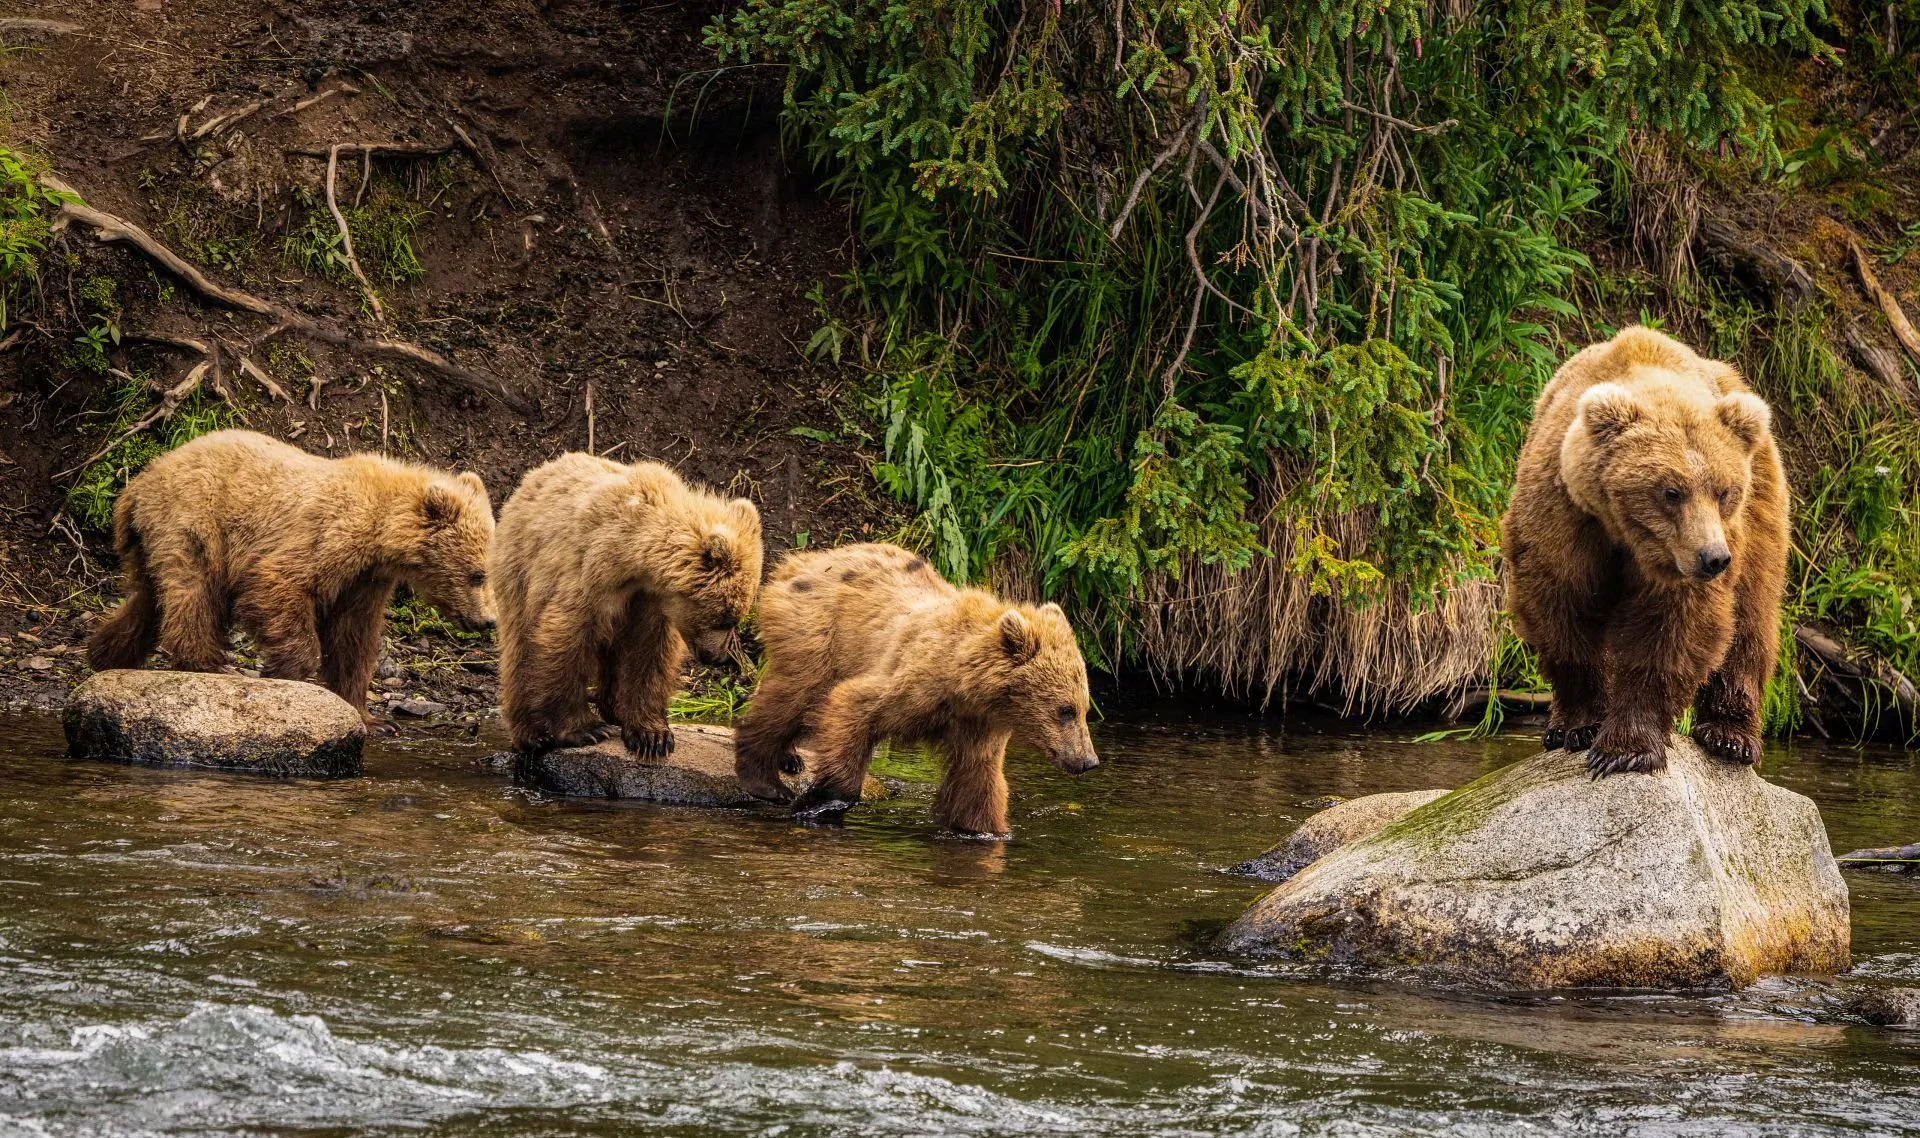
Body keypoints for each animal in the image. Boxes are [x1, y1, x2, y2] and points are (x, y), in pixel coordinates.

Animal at [88, 429, 496, 720]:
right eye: (477, 575)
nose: (489, 621)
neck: (381, 529)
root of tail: (140, 481)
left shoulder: (364, 579)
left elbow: (353, 636)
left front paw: (364, 711)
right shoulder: (327, 539)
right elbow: (277, 586)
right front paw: (287, 669)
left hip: (149, 540)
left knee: (147, 600)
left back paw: (105, 654)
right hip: (194, 521)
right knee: (193, 593)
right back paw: (209, 663)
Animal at [490, 453, 762, 757]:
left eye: (735, 617)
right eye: (726, 618)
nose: (718, 657)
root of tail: (532, 476)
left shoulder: (648, 604)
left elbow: (649, 655)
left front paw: (652, 735)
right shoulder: (588, 576)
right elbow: (565, 639)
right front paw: (586, 729)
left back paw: (614, 710)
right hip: (519, 568)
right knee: (520, 646)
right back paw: (531, 734)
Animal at [733, 542, 1100, 837]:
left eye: (1084, 709)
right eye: (1065, 710)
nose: (1088, 761)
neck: (965, 685)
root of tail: (801, 561)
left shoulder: (978, 726)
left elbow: (978, 783)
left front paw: (984, 831)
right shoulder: (914, 684)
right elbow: (854, 706)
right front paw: (821, 803)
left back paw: (789, 759)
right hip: (818, 635)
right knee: (792, 696)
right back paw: (765, 780)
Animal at [1500, 326, 1789, 777]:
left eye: (1724, 491)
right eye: (1671, 491)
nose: (1713, 558)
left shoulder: (1681, 563)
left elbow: (1669, 632)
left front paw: (1624, 749)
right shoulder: (1564, 517)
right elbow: (1562, 610)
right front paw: (1580, 727)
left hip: (1762, 506)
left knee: (1752, 613)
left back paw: (1730, 737)